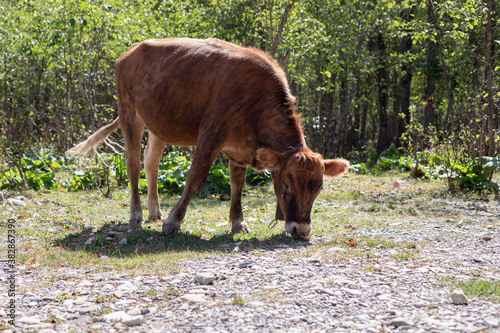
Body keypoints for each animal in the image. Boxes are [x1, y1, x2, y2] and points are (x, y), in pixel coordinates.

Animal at [65, 38, 348, 236]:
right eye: (287, 186)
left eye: (319, 188)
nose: (300, 230)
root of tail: (132, 49)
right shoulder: (211, 133)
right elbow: (195, 177)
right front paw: (173, 223)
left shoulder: (240, 147)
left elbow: (237, 185)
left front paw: (237, 223)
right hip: (129, 112)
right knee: (133, 163)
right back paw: (137, 215)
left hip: (159, 122)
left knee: (151, 161)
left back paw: (154, 210)